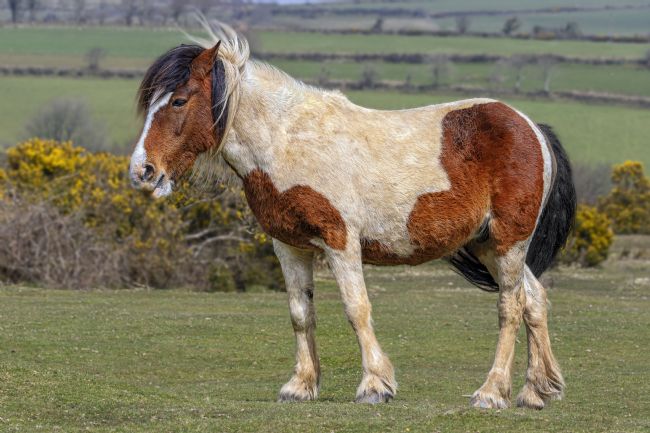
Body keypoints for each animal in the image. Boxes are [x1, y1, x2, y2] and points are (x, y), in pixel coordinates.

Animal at [129, 22, 576, 410]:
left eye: (179, 100)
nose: (142, 171)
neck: (289, 142)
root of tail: (531, 128)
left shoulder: (340, 240)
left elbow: (356, 308)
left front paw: (375, 385)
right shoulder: (288, 245)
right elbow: (300, 313)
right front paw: (301, 385)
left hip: (508, 241)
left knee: (511, 306)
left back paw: (492, 392)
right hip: (486, 245)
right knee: (534, 300)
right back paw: (537, 391)